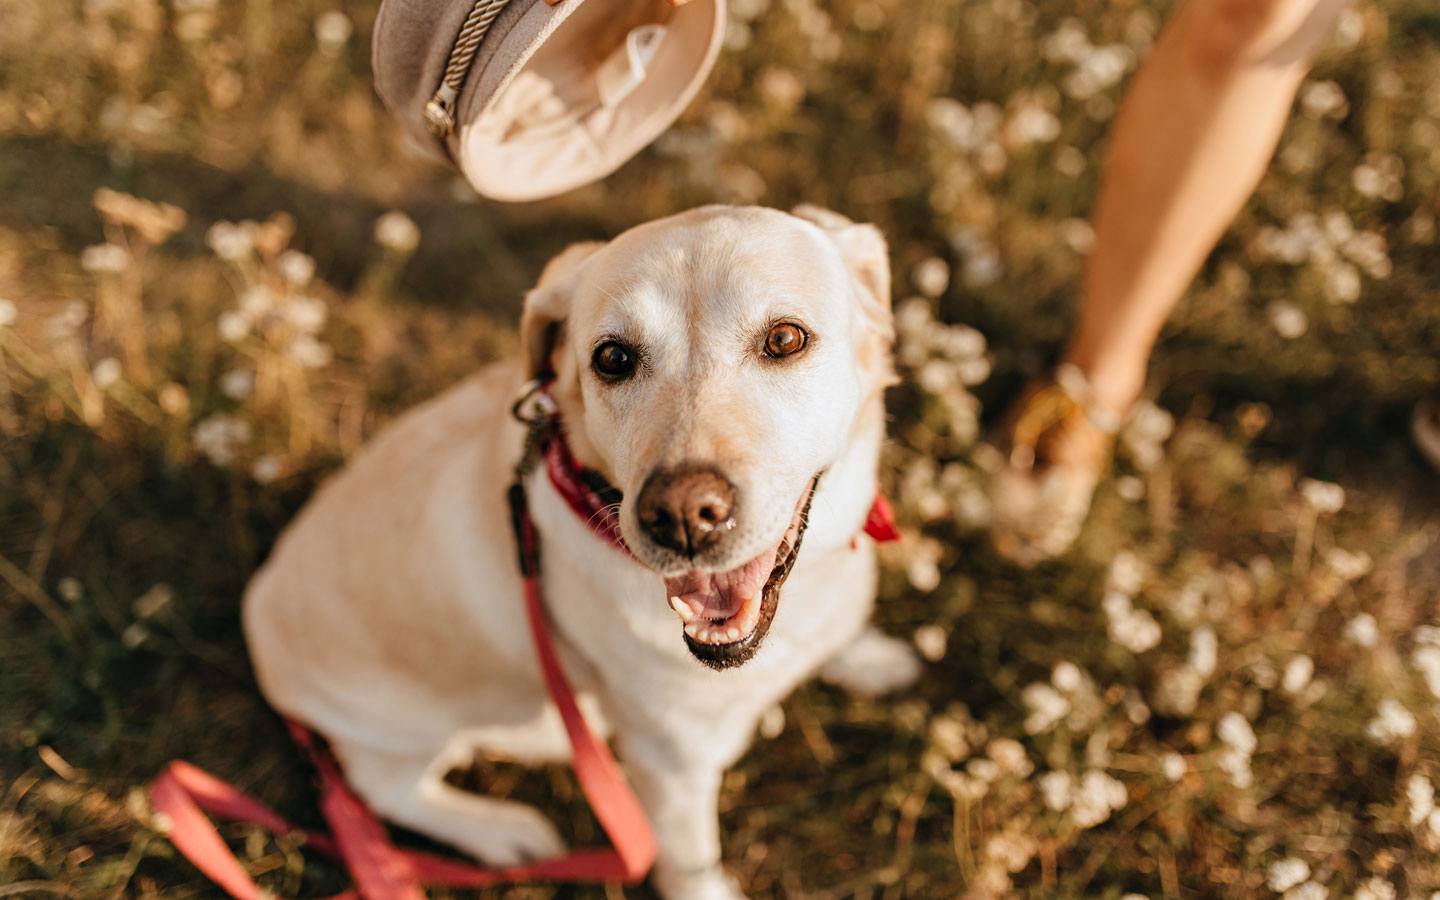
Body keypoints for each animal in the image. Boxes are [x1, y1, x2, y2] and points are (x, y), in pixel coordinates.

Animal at [244, 205, 921, 898]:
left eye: (784, 339)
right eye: (613, 357)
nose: (681, 518)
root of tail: (257, 598)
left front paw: (866, 658)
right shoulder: (669, 766)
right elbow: (690, 859)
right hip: (409, 729)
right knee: (383, 791)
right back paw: (502, 832)